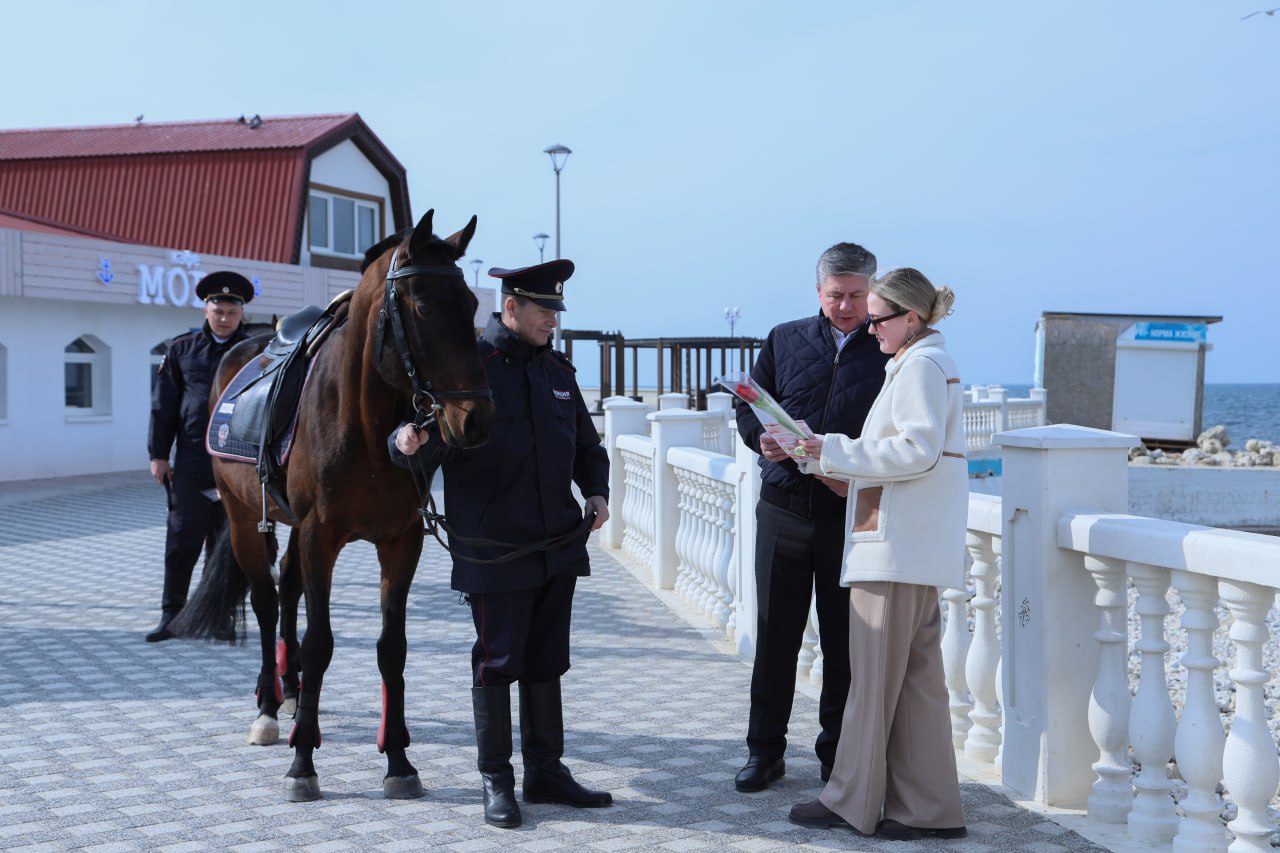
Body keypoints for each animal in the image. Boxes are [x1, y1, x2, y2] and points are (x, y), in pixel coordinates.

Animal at [170, 208, 488, 799]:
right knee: (267, 601)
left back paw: (296, 695)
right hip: (244, 519)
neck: (363, 425)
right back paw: (271, 709)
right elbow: (319, 641)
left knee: (288, 589)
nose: (477, 418)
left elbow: (391, 647)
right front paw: (303, 764)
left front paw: (398, 760)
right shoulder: (322, 536)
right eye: (425, 306)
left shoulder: (400, 540)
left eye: (473, 307)